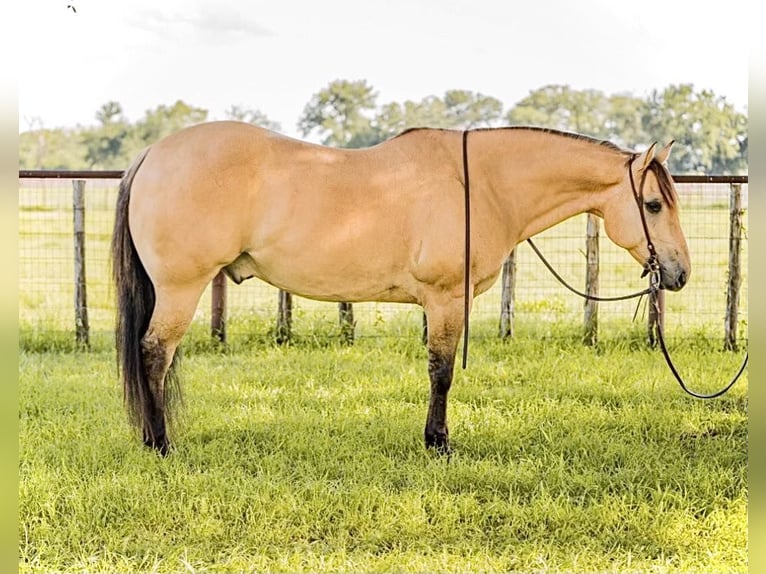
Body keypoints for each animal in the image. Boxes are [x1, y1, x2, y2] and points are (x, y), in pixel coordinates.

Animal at [111, 124, 692, 456]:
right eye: (654, 204)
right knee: (154, 354)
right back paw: (161, 445)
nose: (680, 273)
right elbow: (442, 373)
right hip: (180, 289)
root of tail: (152, 155)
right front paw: (439, 444)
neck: (479, 183)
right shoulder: (445, 300)